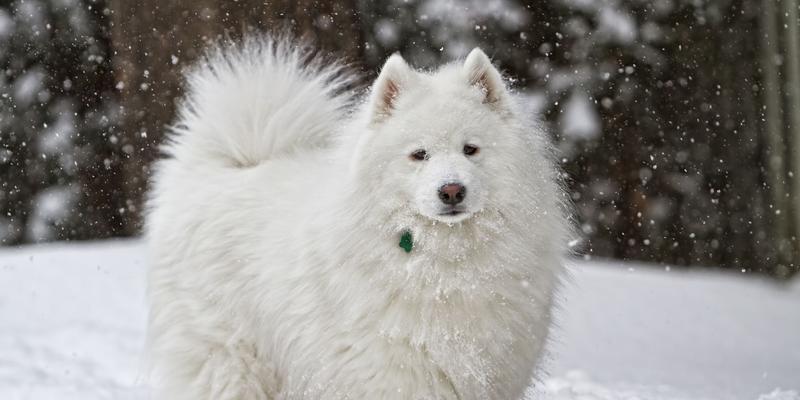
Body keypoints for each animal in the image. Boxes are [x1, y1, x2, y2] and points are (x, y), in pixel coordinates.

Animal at [145, 37, 568, 400]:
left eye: (471, 149)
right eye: (419, 154)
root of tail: (233, 166)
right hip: (231, 362)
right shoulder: (394, 373)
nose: (451, 191)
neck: (444, 266)